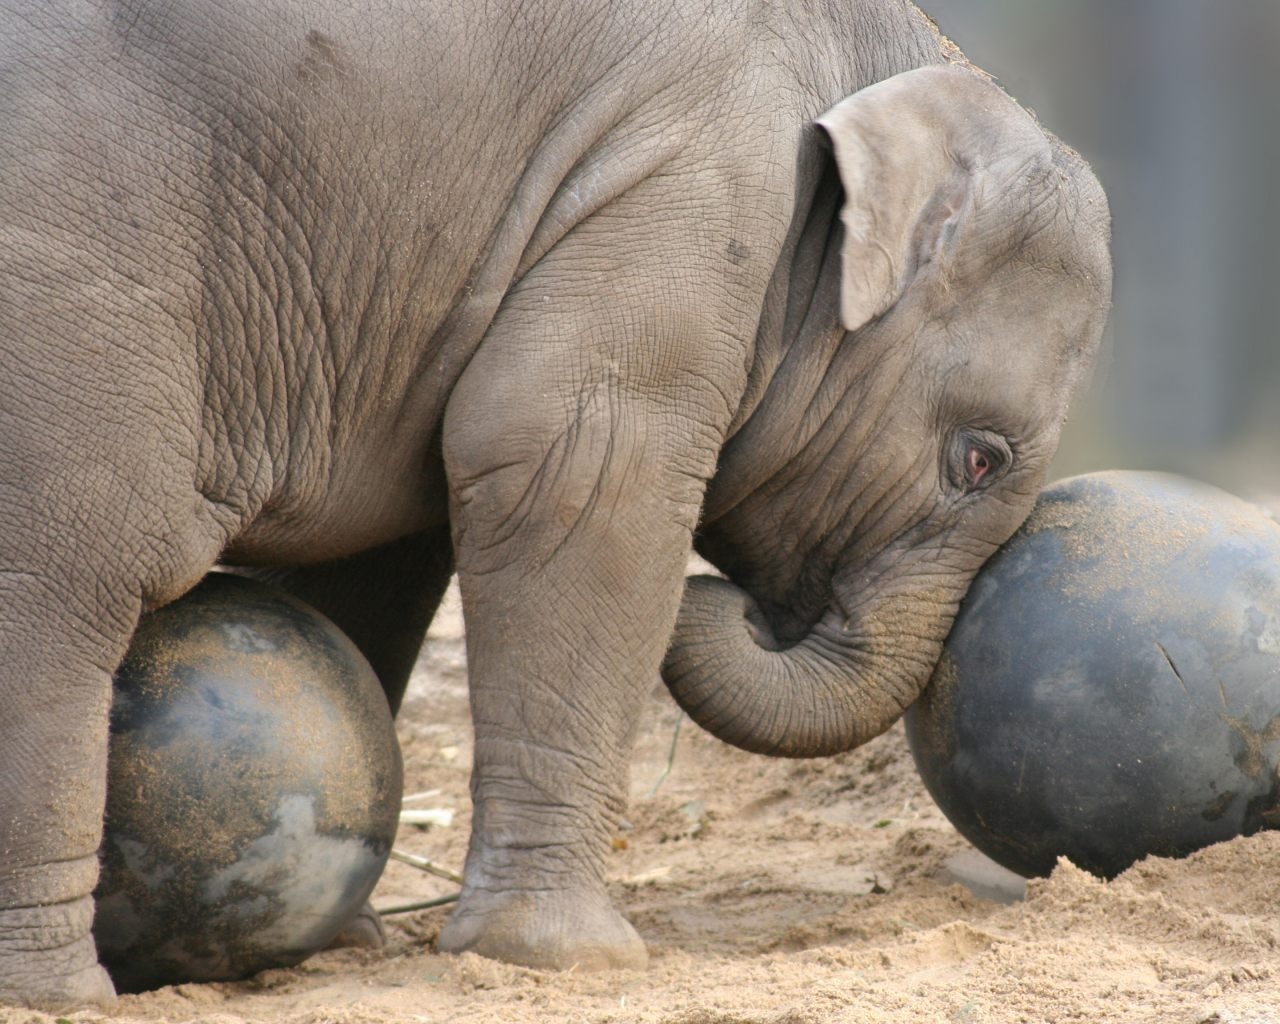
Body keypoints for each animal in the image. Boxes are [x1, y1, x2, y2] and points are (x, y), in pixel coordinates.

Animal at [0, 0, 1111, 1008]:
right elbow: (578, 479)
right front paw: (568, 961)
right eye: (980, 459)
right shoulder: (683, 196)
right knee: (65, 590)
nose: (734, 606)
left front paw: (352, 944)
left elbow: (376, 558)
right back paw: (61, 995)